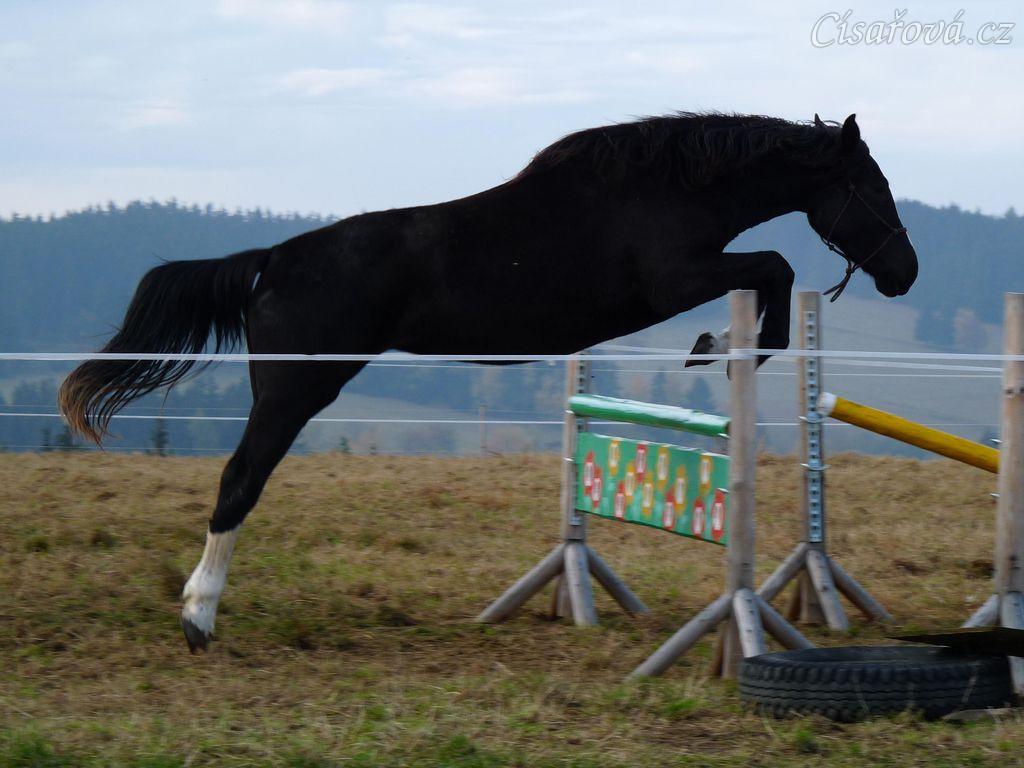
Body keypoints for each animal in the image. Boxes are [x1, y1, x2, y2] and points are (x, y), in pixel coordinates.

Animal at [58, 112, 918, 651]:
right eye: (872, 187)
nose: (904, 273)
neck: (669, 188)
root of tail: (273, 258)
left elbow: (773, 275)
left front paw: (720, 347)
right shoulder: (677, 278)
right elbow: (773, 270)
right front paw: (718, 347)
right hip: (295, 391)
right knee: (240, 481)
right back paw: (198, 618)